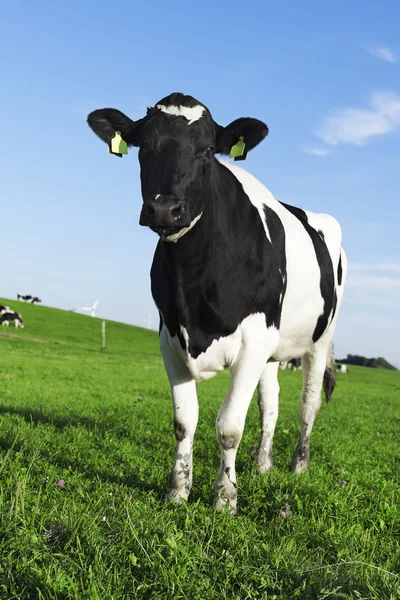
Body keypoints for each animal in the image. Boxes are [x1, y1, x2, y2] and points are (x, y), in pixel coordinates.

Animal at [87, 91, 346, 512]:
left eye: (207, 150)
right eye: (143, 147)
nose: (164, 208)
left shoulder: (255, 337)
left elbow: (229, 427)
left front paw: (225, 498)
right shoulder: (169, 336)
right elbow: (184, 422)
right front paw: (178, 491)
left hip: (319, 340)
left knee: (308, 404)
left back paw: (298, 467)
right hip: (273, 350)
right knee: (270, 403)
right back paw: (263, 465)